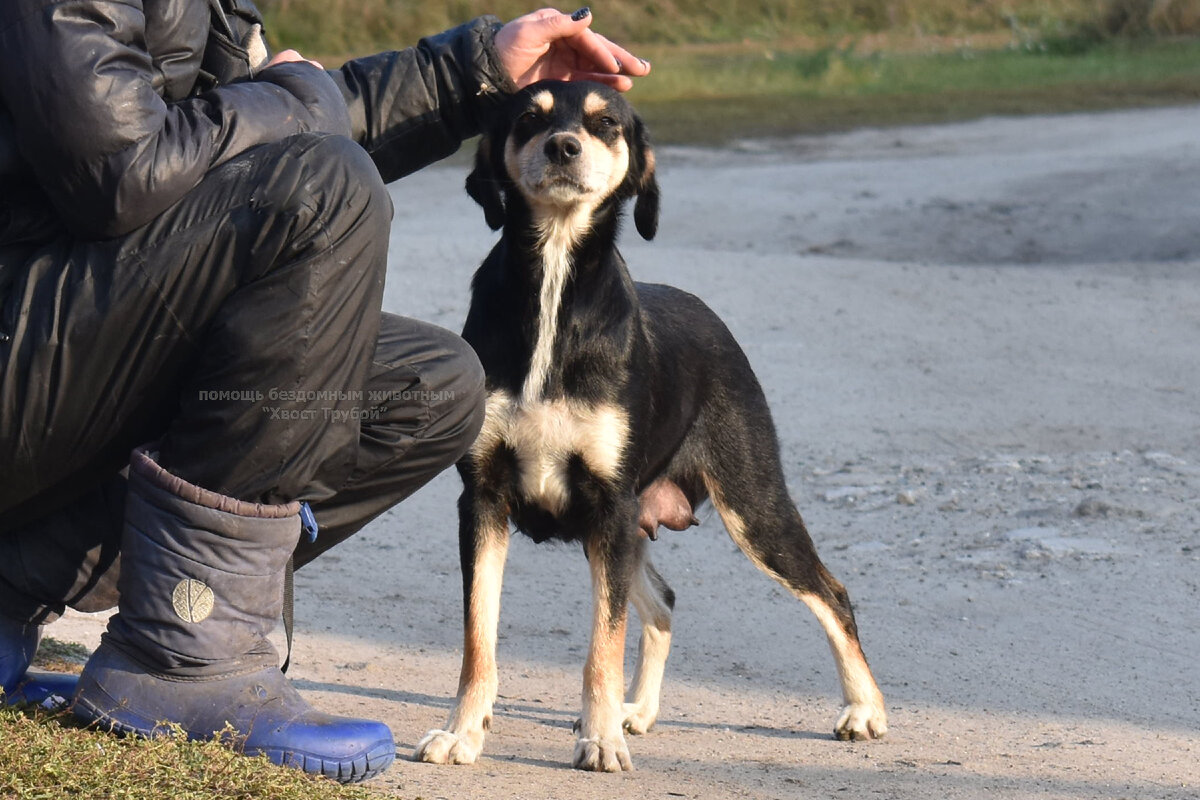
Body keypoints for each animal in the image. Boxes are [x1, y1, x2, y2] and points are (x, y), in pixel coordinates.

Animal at [417, 79, 888, 767]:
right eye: (529, 116)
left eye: (606, 122)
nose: (563, 147)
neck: (554, 288)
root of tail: (709, 315)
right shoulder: (484, 500)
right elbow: (480, 639)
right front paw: (462, 733)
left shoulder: (607, 503)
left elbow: (601, 648)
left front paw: (600, 740)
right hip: (626, 529)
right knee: (663, 603)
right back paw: (637, 710)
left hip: (748, 506)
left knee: (833, 595)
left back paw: (865, 709)